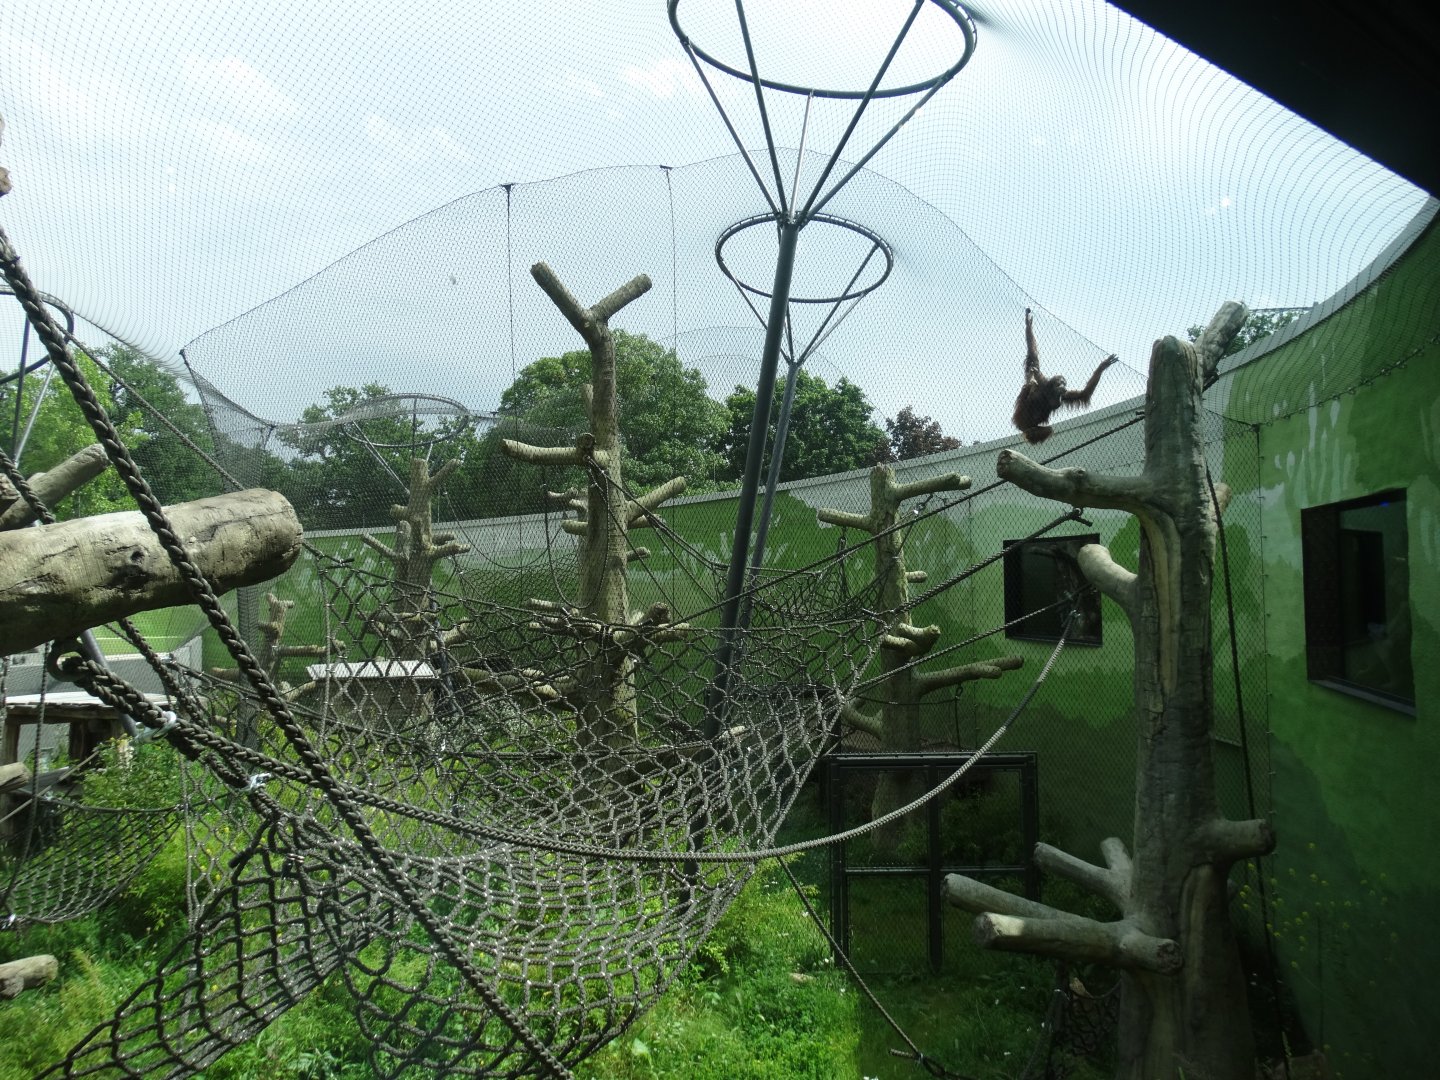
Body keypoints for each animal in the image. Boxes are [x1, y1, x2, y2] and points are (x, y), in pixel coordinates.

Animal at [1011, 307, 1118, 444]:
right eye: (1060, 382)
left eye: (1064, 383)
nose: (1063, 386)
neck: (1051, 392)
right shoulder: (1045, 383)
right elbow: (1034, 363)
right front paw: (1028, 324)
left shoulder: (1064, 395)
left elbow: (1083, 394)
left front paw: (1103, 366)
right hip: (1022, 421)